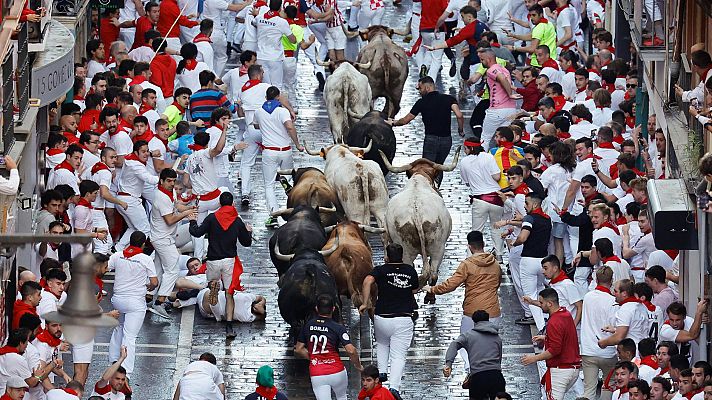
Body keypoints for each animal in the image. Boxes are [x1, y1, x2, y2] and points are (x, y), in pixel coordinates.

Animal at [378, 148, 462, 304]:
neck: (419, 180)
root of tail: (416, 211)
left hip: (410, 249)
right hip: (438, 247)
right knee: (433, 273)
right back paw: (429, 297)